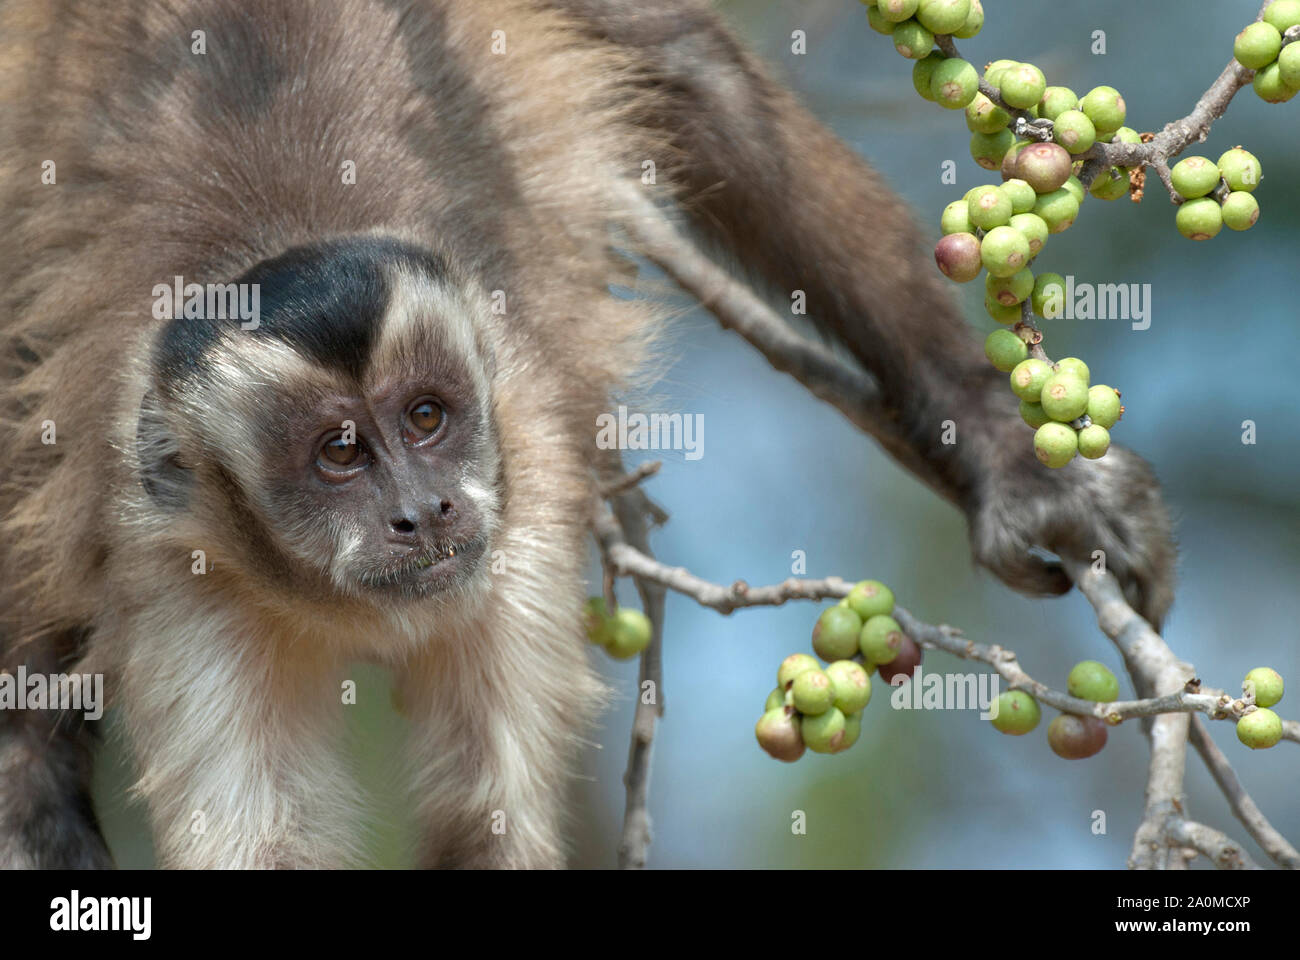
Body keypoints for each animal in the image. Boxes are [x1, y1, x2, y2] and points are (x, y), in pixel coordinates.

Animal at [0, 0, 1180, 868]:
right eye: (338, 453)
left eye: (426, 417)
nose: (423, 509)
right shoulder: (173, 560)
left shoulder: (521, 484)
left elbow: (487, 820)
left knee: (689, 65)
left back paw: (1000, 449)